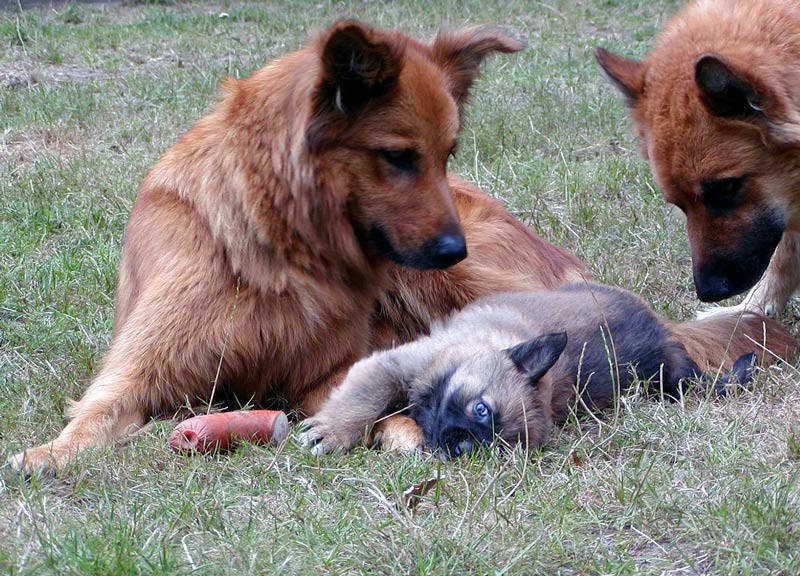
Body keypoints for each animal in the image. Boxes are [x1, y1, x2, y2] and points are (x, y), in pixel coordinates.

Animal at [7, 20, 588, 474]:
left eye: (447, 155)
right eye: (398, 157)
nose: (453, 249)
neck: (277, 254)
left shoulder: (327, 369)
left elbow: (372, 391)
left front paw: (400, 430)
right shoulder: (140, 368)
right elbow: (97, 411)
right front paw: (49, 454)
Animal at [302, 284, 800, 460]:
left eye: (500, 446)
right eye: (482, 411)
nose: (462, 448)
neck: (477, 348)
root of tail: (663, 333)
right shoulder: (391, 365)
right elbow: (363, 396)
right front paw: (334, 430)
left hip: (669, 379)